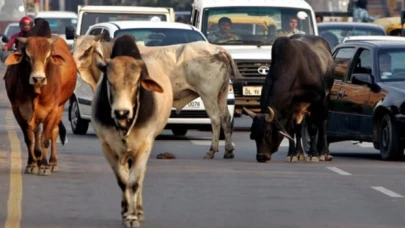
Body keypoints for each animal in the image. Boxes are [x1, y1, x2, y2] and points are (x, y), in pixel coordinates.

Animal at [243, 33, 334, 162]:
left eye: (268, 132)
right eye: (253, 134)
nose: (261, 157)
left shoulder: (316, 101)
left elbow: (313, 129)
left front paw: (313, 155)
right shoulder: (289, 108)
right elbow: (291, 131)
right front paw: (292, 154)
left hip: (326, 99)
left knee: (323, 123)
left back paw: (324, 153)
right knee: (298, 128)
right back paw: (299, 153)